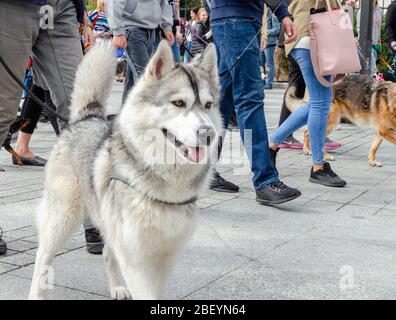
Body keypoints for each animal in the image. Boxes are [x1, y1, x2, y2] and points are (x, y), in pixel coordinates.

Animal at [29, 40, 223, 300]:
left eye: (208, 105)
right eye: (179, 103)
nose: (208, 133)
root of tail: (87, 118)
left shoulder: (165, 256)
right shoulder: (137, 260)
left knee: (107, 252)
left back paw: (117, 288)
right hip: (62, 217)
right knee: (43, 256)